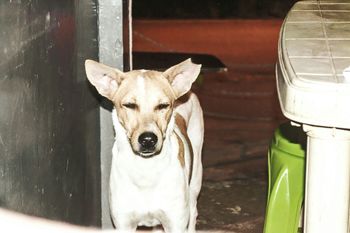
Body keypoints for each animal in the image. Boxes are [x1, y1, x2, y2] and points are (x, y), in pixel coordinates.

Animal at [85, 59, 204, 232]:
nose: (148, 139)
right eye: (129, 105)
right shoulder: (124, 223)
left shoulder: (175, 223)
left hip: (195, 181)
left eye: (163, 105)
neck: (146, 171)